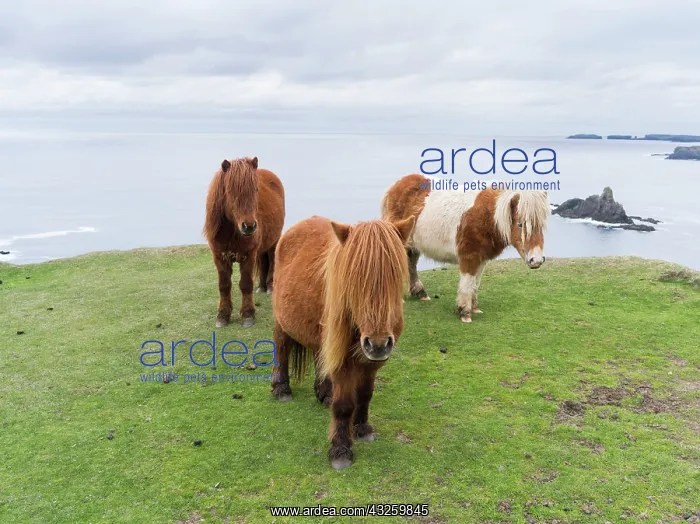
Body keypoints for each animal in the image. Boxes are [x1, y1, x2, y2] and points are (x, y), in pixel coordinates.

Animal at [203, 156, 285, 328]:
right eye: (230, 191)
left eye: (256, 189)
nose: (249, 226)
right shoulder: (219, 257)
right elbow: (224, 285)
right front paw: (222, 315)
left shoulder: (248, 256)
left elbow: (246, 284)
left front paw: (248, 315)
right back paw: (261, 287)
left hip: (273, 241)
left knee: (272, 260)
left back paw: (269, 286)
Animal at [270, 214, 415, 469]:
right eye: (354, 281)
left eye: (395, 277)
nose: (378, 344)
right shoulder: (344, 361)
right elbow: (345, 405)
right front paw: (340, 449)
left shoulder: (372, 362)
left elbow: (365, 394)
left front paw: (362, 428)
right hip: (282, 323)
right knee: (282, 349)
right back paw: (282, 388)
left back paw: (324, 393)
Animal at [381, 174, 550, 323]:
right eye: (520, 224)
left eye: (540, 226)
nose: (536, 260)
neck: (487, 216)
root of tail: (397, 186)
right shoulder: (469, 257)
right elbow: (467, 284)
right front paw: (465, 313)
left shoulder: (482, 259)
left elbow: (475, 283)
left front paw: (474, 307)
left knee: (411, 262)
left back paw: (420, 293)